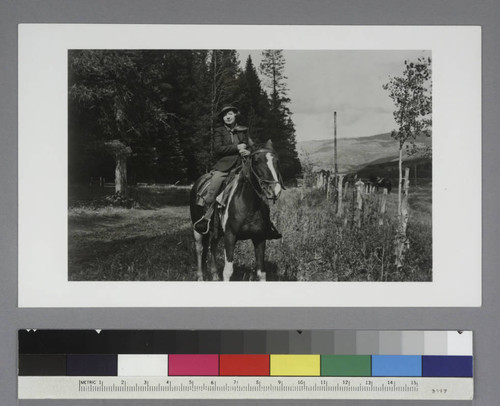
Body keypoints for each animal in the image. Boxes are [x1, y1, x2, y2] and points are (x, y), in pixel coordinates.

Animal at [189, 140, 284, 282]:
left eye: (277, 161)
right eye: (256, 161)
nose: (274, 190)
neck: (249, 206)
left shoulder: (260, 238)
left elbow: (261, 272)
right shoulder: (230, 236)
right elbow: (228, 271)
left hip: (217, 231)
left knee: (213, 245)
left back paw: (214, 275)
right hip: (198, 228)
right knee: (199, 248)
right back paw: (200, 277)